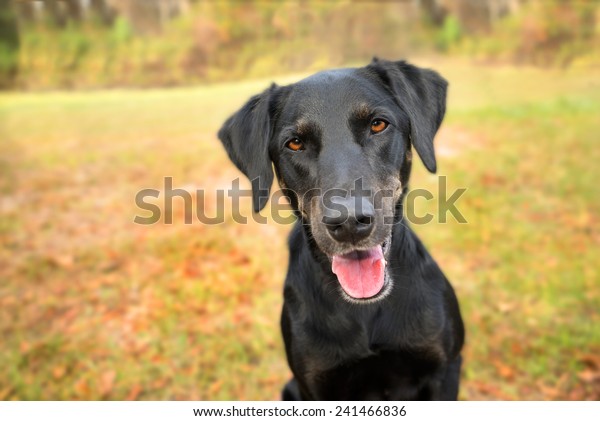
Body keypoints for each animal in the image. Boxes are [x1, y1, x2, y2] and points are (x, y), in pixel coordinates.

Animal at [218, 59, 466, 400]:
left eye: (378, 125)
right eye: (295, 143)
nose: (348, 222)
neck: (366, 310)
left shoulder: (445, 367)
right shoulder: (314, 384)